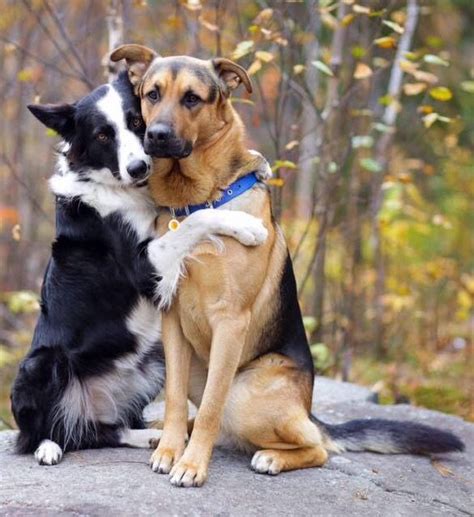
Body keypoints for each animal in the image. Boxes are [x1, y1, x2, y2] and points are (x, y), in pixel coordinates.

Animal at [11, 71, 268, 464]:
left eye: (136, 122)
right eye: (103, 135)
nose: (139, 168)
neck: (120, 189)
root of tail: (83, 410)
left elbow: (195, 215)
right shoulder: (144, 267)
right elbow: (197, 219)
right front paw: (246, 225)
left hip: (156, 361)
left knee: (103, 432)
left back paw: (147, 436)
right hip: (38, 365)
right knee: (42, 433)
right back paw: (48, 447)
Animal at [112, 45, 466, 488]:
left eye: (192, 98)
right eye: (153, 94)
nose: (156, 135)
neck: (198, 201)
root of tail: (308, 407)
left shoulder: (230, 321)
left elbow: (211, 407)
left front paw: (192, 465)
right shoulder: (173, 318)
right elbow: (176, 399)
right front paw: (169, 450)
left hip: (247, 394)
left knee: (315, 445)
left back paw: (272, 457)